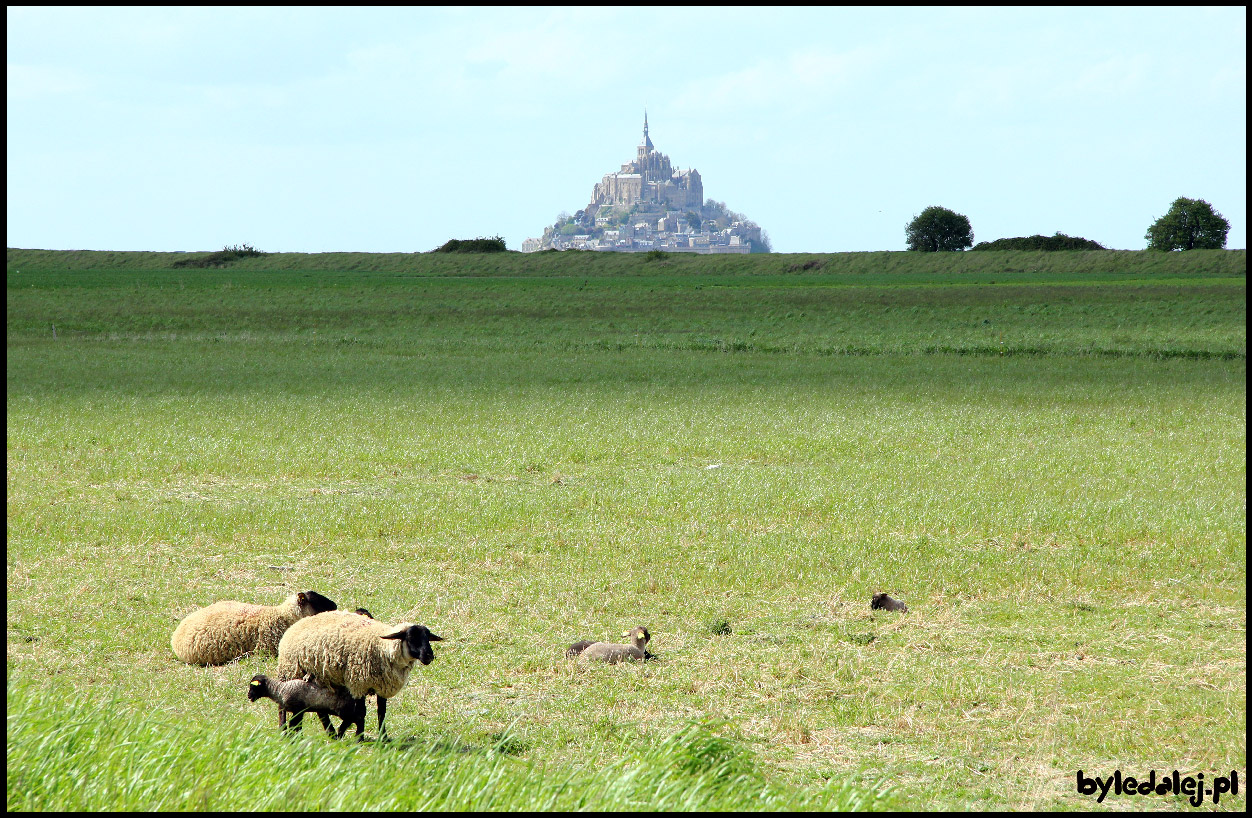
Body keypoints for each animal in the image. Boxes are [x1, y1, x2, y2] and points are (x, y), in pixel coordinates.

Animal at [276, 608, 443, 736]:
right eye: (411, 637)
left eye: (428, 638)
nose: (429, 656)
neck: (383, 647)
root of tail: (296, 624)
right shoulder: (358, 683)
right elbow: (361, 712)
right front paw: (359, 737)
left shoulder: (382, 685)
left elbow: (381, 712)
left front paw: (383, 738)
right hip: (290, 670)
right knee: (282, 704)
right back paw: (283, 730)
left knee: (317, 708)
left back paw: (330, 733)